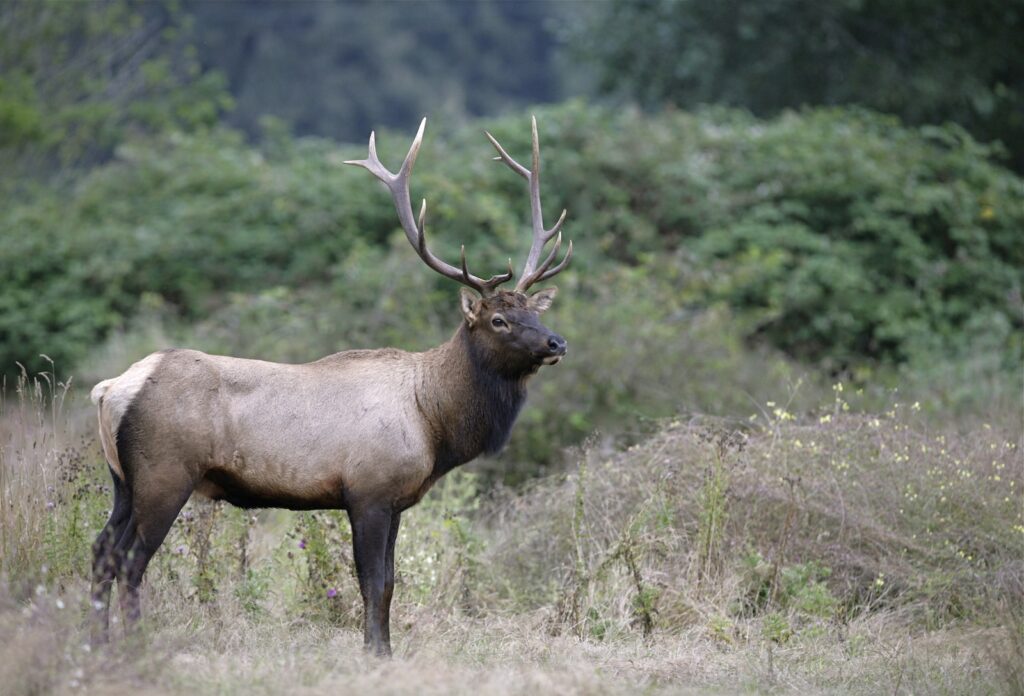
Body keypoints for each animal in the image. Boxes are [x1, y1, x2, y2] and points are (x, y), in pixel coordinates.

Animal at [88, 117, 572, 657]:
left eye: (535, 312)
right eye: (499, 320)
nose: (557, 342)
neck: (434, 422)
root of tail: (110, 389)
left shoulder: (394, 500)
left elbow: (389, 582)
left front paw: (383, 651)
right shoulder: (368, 490)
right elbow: (372, 581)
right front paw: (374, 652)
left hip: (123, 479)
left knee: (101, 550)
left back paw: (97, 643)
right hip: (165, 474)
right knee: (130, 559)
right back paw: (132, 645)